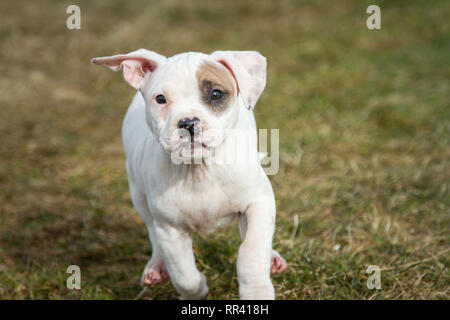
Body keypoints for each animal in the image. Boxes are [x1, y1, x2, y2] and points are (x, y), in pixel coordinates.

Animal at [91, 48, 286, 298]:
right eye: (161, 99)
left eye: (216, 93)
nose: (189, 123)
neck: (199, 169)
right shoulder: (169, 229)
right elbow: (183, 274)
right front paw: (197, 289)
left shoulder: (258, 203)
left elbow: (251, 251)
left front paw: (257, 291)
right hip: (139, 196)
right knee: (152, 231)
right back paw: (156, 266)